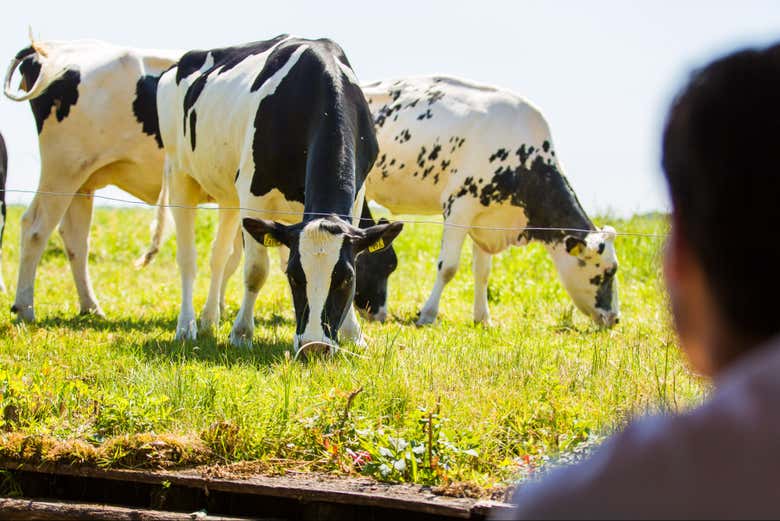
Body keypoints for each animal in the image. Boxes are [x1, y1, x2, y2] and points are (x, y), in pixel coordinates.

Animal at [151, 35, 402, 354]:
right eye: (294, 277)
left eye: (346, 279)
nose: (314, 346)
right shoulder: (253, 193)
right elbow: (256, 270)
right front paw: (242, 333)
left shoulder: (357, 198)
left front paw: (353, 335)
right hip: (179, 173)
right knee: (188, 258)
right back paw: (187, 326)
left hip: (229, 195)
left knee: (219, 256)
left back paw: (209, 319)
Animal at [357, 76, 619, 327]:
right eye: (606, 273)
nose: (615, 318)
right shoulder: (458, 207)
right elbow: (448, 267)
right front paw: (428, 314)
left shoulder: (486, 219)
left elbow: (482, 272)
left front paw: (483, 318)